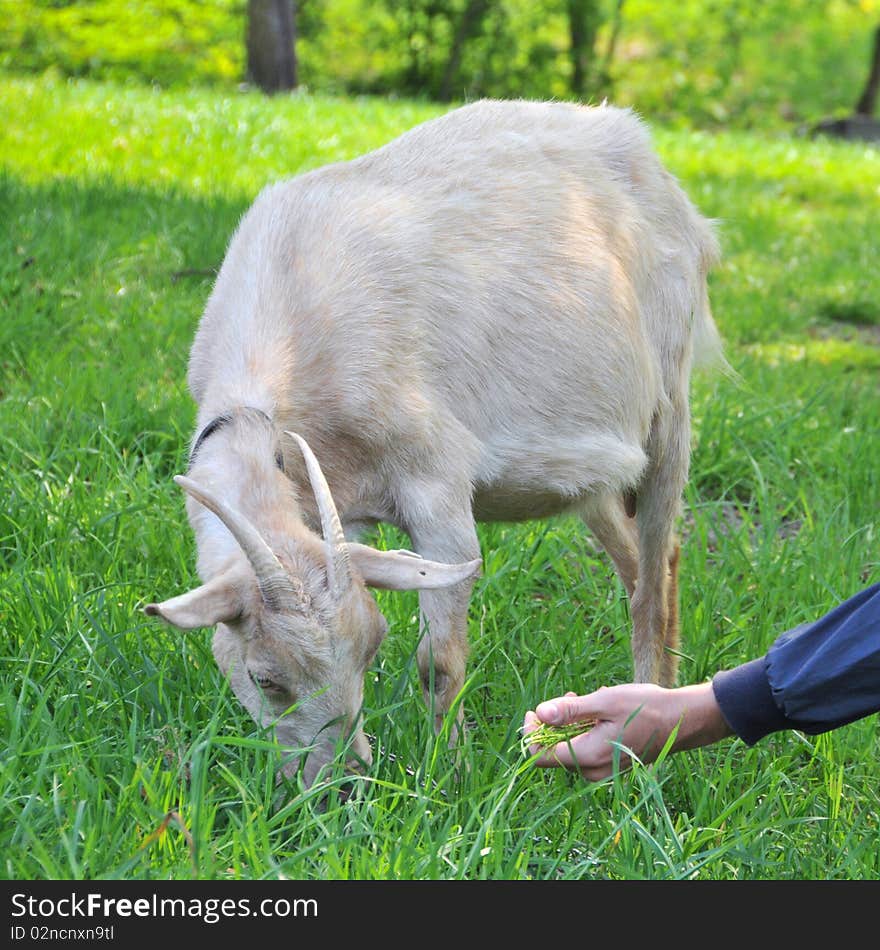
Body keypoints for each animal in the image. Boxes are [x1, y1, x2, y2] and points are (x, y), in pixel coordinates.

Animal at [144, 100, 720, 792]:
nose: (343, 784)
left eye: (371, 645)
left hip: (669, 404)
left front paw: (452, 775)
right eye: (265, 678)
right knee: (651, 565)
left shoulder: (434, 479)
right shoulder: (336, 505)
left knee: (653, 577)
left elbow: (437, 659)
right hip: (596, 472)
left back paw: (641, 745)